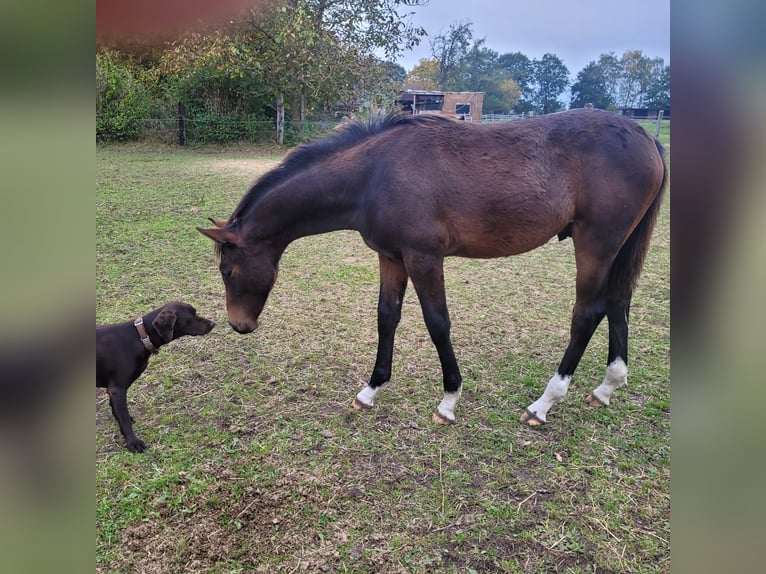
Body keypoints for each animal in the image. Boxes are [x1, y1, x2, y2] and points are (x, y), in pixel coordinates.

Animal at [97, 304, 216, 452]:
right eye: (191, 317)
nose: (213, 324)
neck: (139, 337)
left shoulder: (113, 389)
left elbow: (117, 412)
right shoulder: (117, 389)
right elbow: (123, 418)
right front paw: (133, 442)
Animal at [198, 111, 664, 428]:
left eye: (227, 271)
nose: (239, 325)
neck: (375, 174)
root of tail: (646, 137)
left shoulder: (424, 257)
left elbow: (437, 323)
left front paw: (449, 400)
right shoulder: (391, 257)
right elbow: (387, 317)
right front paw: (370, 390)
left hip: (596, 244)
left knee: (588, 313)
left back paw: (544, 403)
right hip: (617, 247)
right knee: (618, 301)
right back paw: (607, 386)